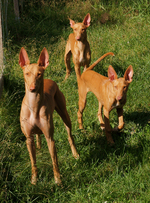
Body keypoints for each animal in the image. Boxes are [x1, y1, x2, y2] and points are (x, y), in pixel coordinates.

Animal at [19, 46, 78, 185]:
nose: (32, 88)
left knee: (70, 136)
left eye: (39, 74)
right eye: (27, 74)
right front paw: (34, 180)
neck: (34, 106)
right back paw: (39, 145)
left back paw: (75, 154)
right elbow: (33, 162)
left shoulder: (50, 138)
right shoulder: (28, 138)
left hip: (65, 115)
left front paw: (58, 180)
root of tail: (50, 80)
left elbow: (54, 161)